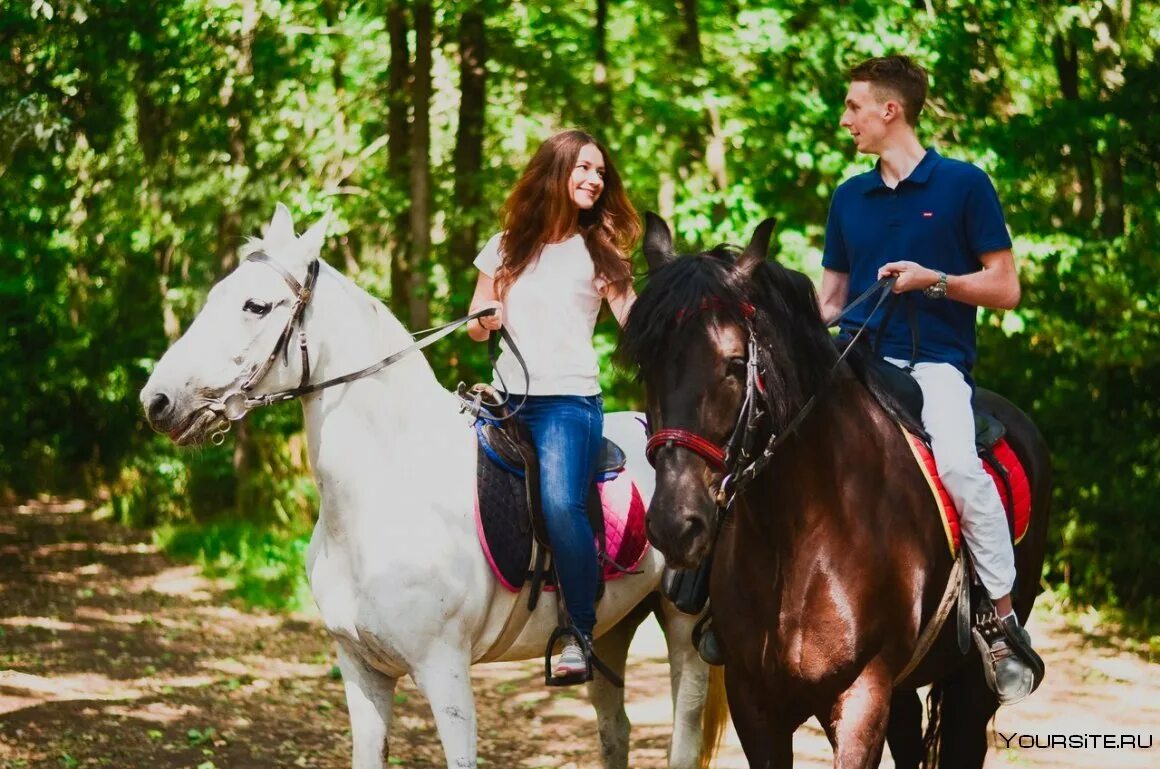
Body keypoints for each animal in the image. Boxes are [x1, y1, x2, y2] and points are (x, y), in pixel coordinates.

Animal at [140, 202, 723, 769]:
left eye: (256, 306)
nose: (157, 401)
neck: (383, 493)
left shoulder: (446, 673)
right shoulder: (361, 669)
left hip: (681, 624)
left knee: (683, 736)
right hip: (613, 627)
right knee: (614, 731)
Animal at [621, 212, 1057, 769]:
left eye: (735, 363)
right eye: (646, 363)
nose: (675, 524)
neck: (800, 535)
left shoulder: (861, 697)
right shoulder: (754, 702)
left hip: (970, 687)